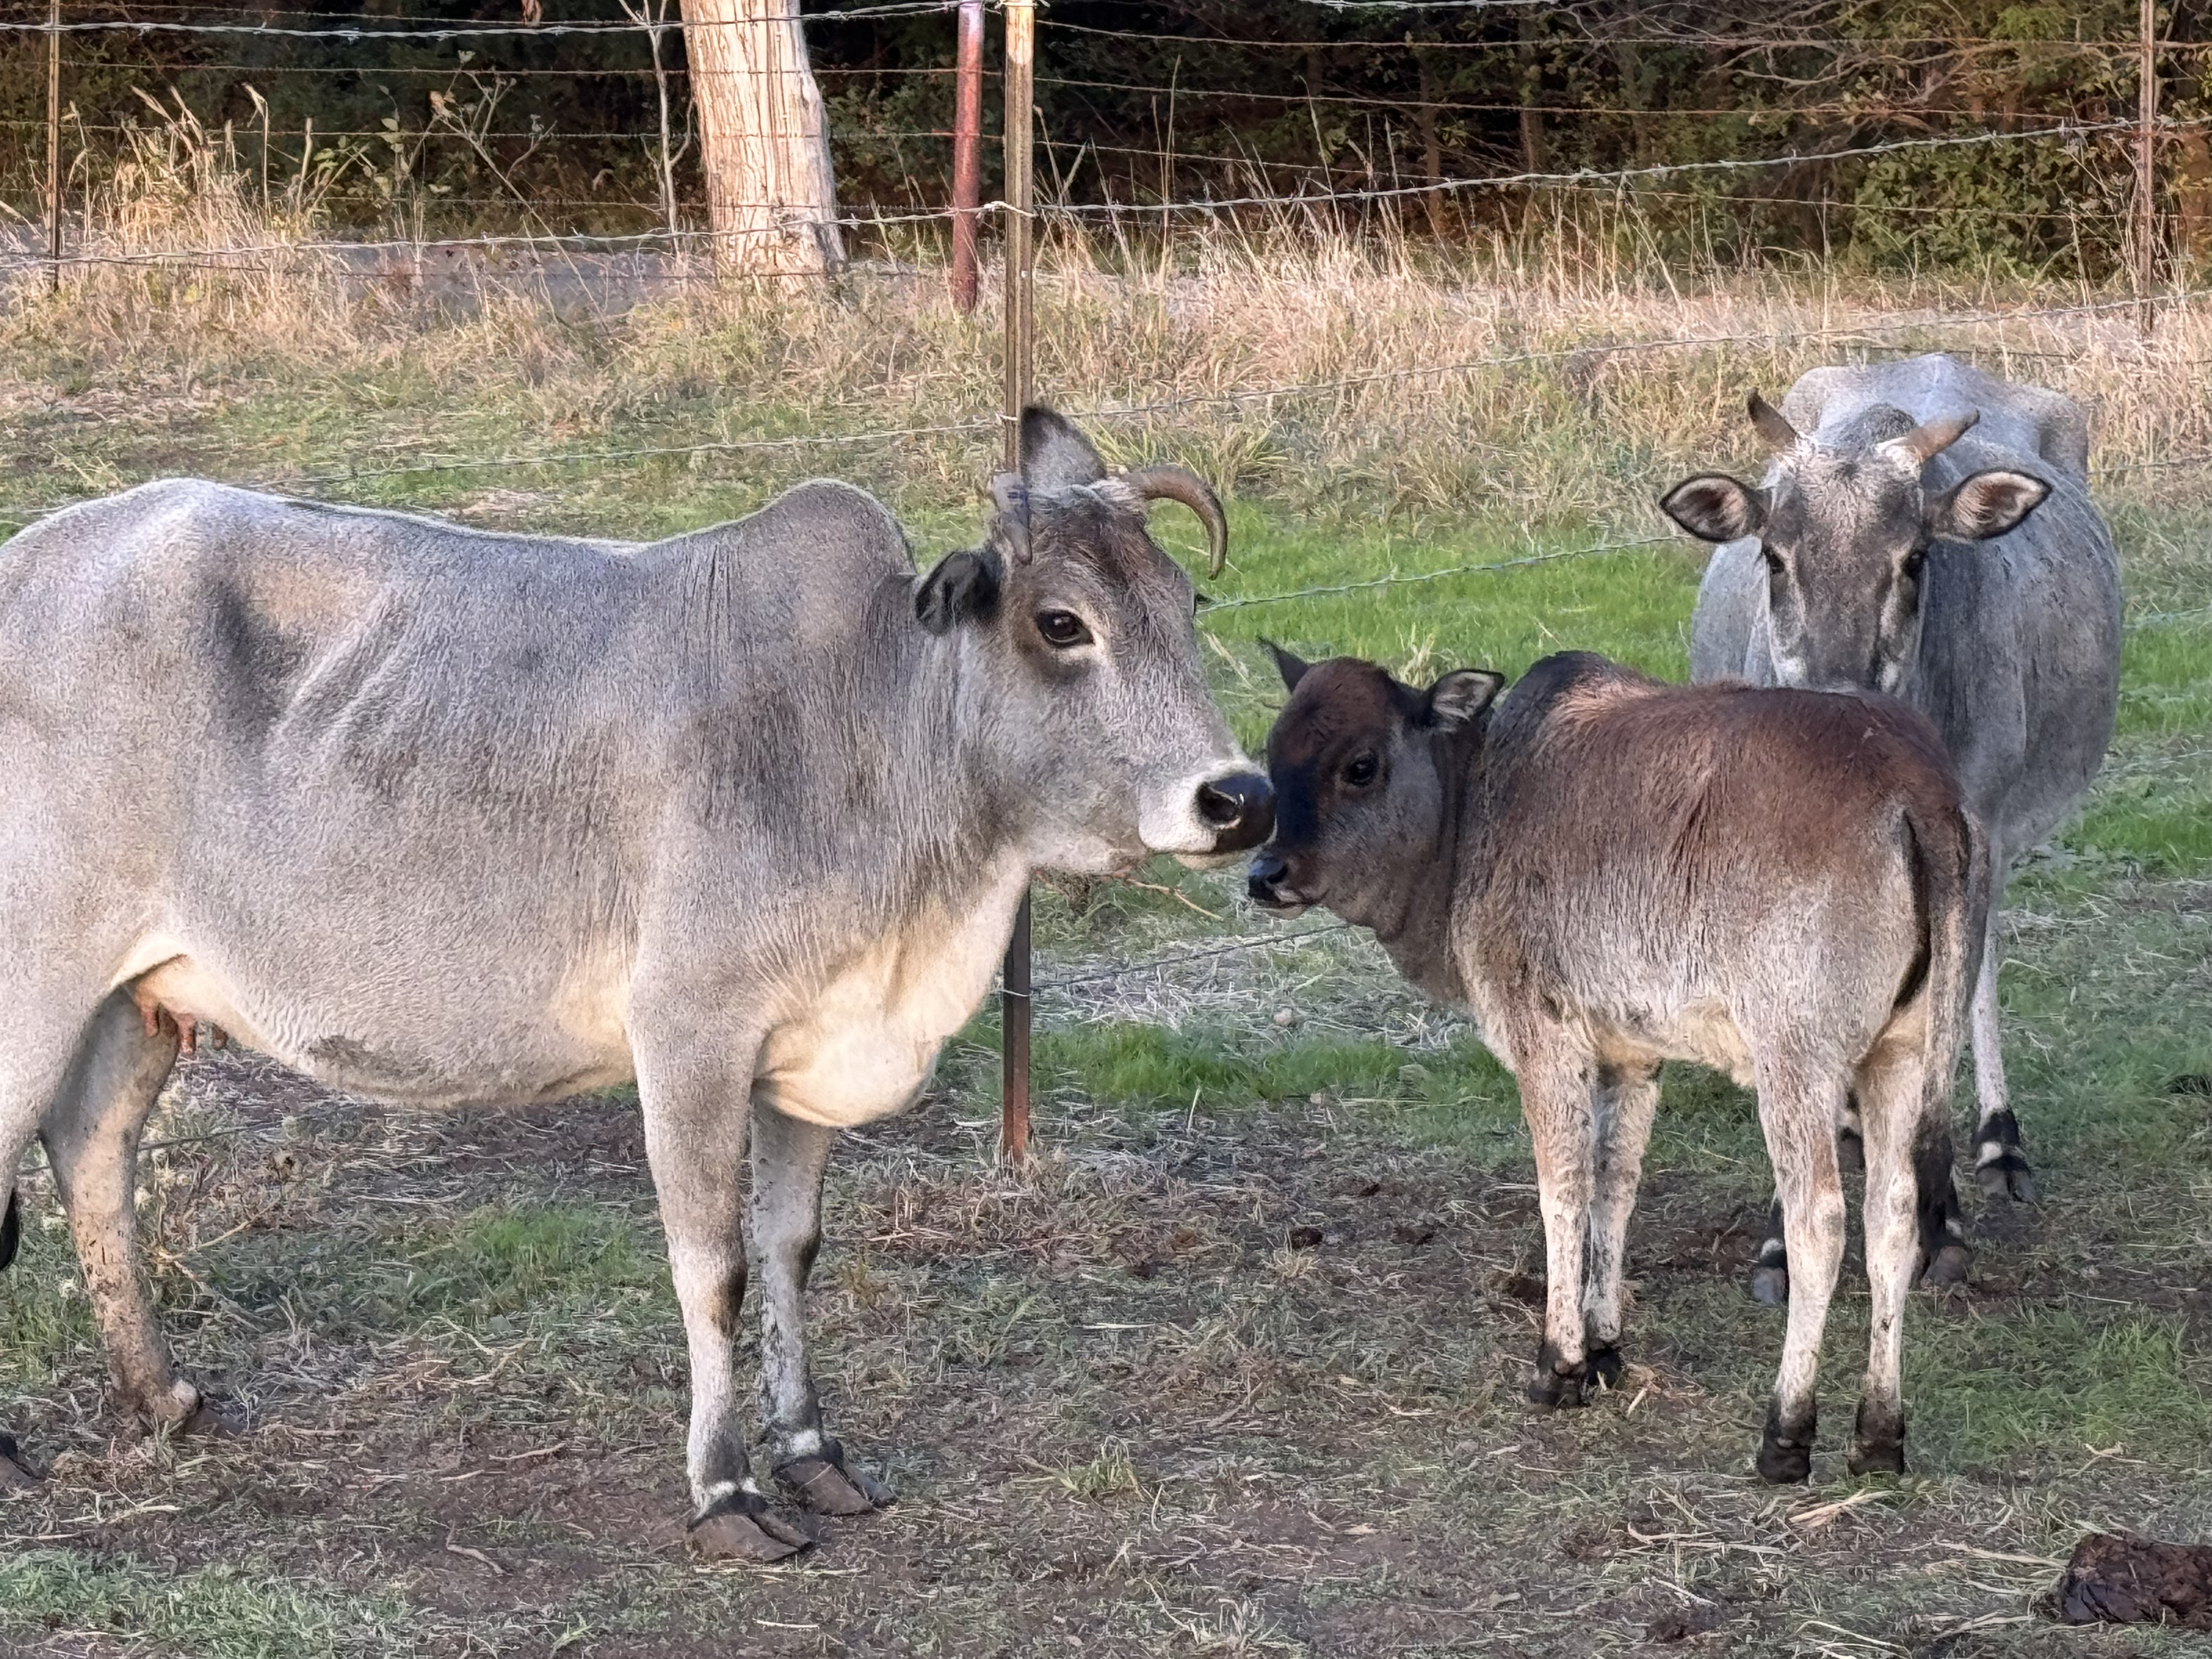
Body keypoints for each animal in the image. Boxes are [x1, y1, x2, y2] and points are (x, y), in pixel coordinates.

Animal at [0, 409, 1274, 1566]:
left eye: (1187, 607)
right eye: (1063, 624)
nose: (1239, 797)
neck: (870, 732)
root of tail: (27, 558)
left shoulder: (806, 1052)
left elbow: (791, 1245)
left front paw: (814, 1453)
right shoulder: (691, 1037)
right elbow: (714, 1269)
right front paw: (727, 1489)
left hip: (135, 1000)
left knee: (92, 1154)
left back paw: (164, 1396)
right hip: (37, 979)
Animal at [1256, 650, 1999, 1477]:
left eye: (1361, 766)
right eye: (1272, 755)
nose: (1265, 873)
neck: (1478, 807)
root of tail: (1916, 786)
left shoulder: (1546, 1039)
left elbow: (1564, 1190)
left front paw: (1560, 1363)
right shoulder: (1634, 1056)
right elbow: (1617, 1185)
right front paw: (1606, 1344)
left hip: (1796, 1061)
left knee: (1821, 1223)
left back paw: (1786, 1432)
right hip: (1901, 1052)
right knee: (1894, 1217)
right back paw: (1879, 1435)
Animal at [1663, 360, 2114, 1300]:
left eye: (1913, 558)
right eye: (1774, 555)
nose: (1833, 703)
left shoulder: (1974, 841)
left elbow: (1943, 1022)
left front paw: (1938, 1221)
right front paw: (1780, 1236)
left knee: (1976, 977)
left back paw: (1999, 1142)